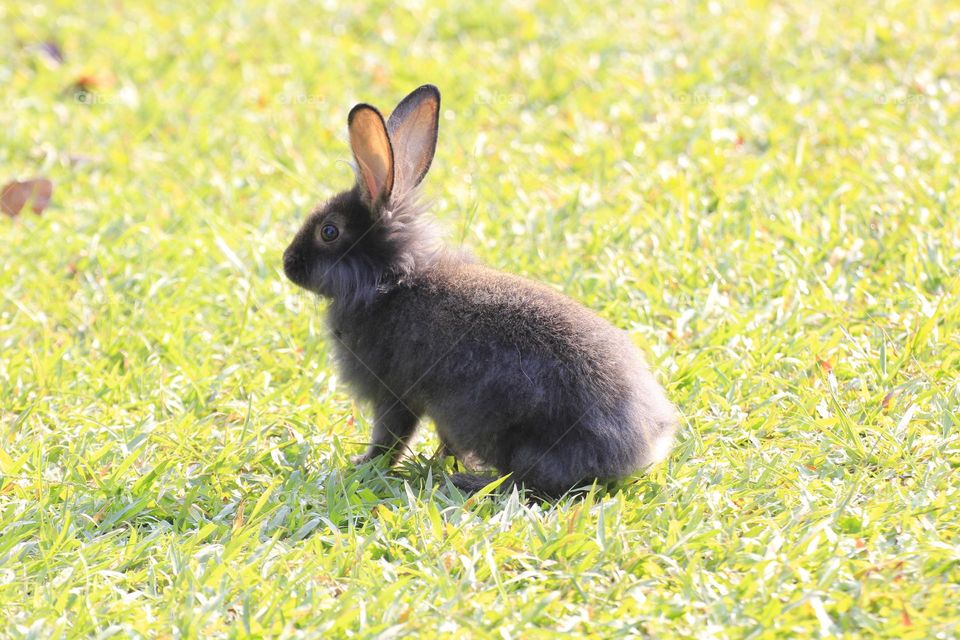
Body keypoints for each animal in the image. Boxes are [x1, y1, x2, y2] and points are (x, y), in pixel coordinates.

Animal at [282, 84, 678, 497]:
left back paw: (468, 481)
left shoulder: (393, 394)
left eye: (329, 231)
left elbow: (391, 437)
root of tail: (643, 446)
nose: (288, 264)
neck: (389, 282)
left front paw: (363, 465)